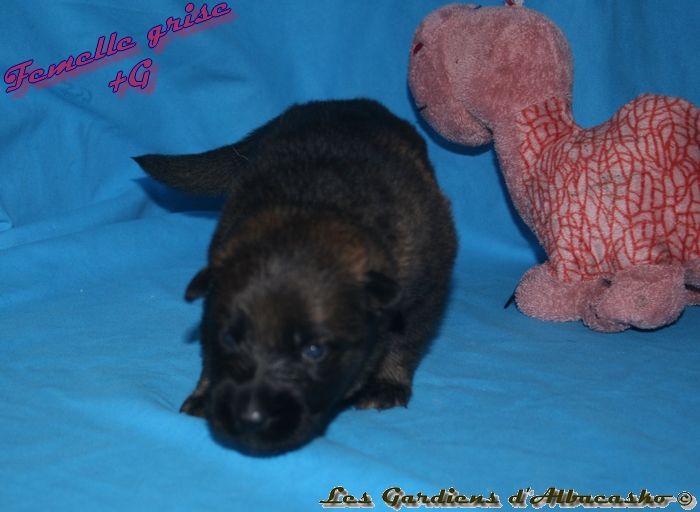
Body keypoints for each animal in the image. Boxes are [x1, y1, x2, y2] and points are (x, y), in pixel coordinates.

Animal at [134, 99, 457, 455]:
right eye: (231, 339)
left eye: (314, 352)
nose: (248, 419)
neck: (313, 210)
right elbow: (209, 351)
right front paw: (205, 394)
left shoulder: (426, 289)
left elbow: (406, 339)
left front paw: (386, 383)